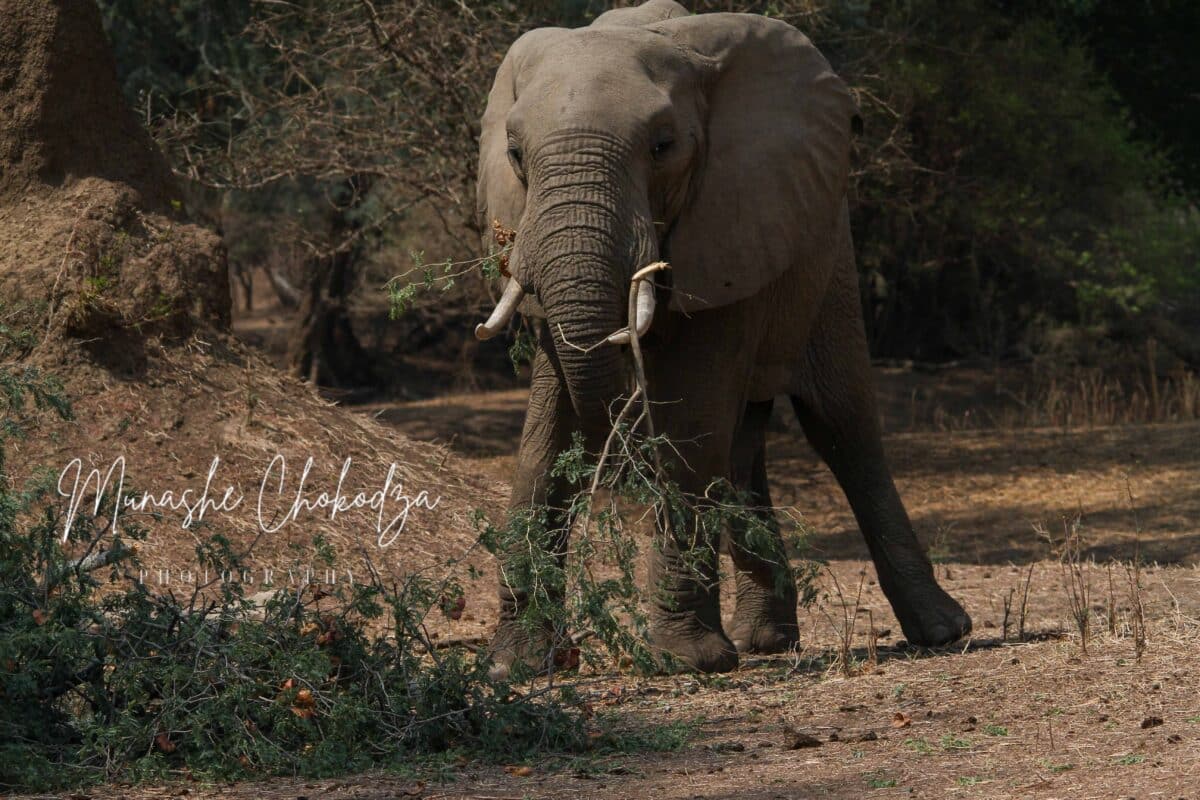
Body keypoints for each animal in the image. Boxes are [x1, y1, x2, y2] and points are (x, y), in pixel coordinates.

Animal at [472, 0, 971, 677]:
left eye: (663, 146)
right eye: (516, 154)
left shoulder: (732, 216)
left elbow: (689, 417)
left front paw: (686, 661)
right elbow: (546, 432)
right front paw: (517, 664)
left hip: (827, 253)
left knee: (843, 425)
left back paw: (943, 631)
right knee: (741, 445)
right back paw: (765, 640)